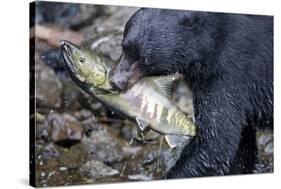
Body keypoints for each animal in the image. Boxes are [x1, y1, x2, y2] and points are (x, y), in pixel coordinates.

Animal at [109, 8, 272, 178]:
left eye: (144, 58)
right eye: (124, 47)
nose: (116, 81)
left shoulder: (229, 74)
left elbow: (215, 142)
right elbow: (241, 146)